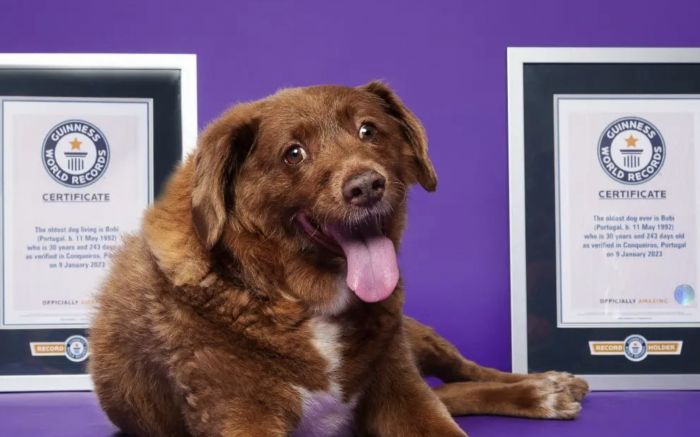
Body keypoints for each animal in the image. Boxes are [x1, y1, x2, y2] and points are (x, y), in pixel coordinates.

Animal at [90, 82, 588, 436]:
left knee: (463, 373)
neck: (298, 299)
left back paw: (547, 388)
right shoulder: (241, 413)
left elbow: (439, 416)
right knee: (453, 391)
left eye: (369, 130)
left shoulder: (400, 388)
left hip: (414, 334)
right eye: (293, 153)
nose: (366, 186)